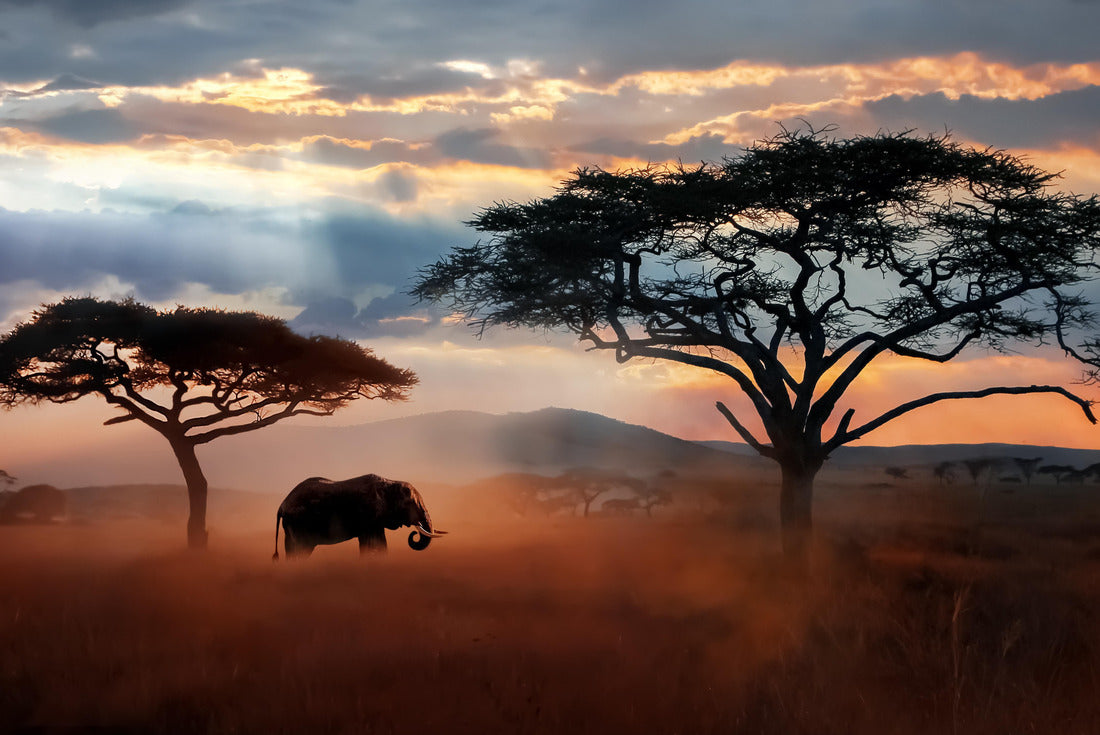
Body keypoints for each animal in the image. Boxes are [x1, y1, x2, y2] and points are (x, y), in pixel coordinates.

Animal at [273, 474, 446, 560]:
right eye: (410, 503)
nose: (415, 532)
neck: (390, 483)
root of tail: (281, 505)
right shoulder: (369, 514)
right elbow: (371, 542)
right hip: (298, 523)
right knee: (300, 549)